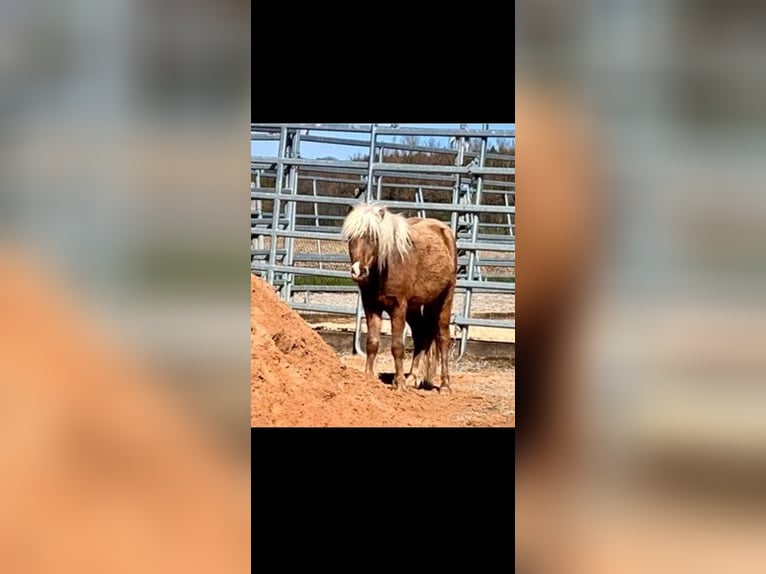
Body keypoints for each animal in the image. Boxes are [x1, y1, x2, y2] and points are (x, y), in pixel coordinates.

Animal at [341, 202, 458, 391]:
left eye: (373, 237)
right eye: (351, 237)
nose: (358, 271)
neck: (385, 268)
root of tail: (444, 231)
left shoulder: (398, 307)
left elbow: (397, 346)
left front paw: (399, 383)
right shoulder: (371, 307)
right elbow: (372, 342)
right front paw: (369, 376)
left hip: (444, 300)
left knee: (443, 338)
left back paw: (445, 385)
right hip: (414, 307)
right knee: (421, 334)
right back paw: (413, 377)